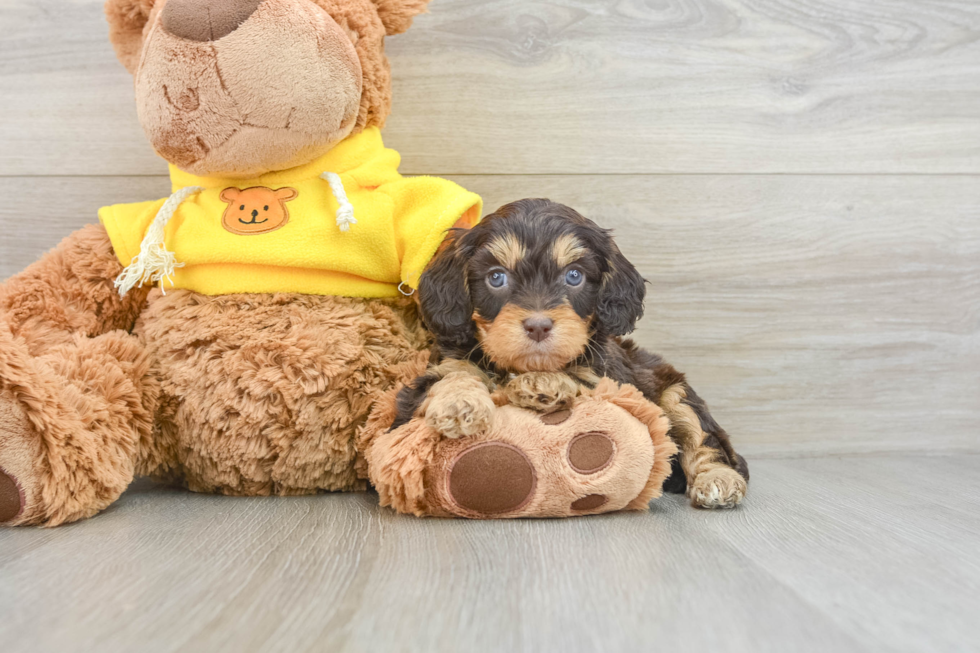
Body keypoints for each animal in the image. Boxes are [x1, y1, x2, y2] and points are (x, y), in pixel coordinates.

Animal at [394, 199, 748, 510]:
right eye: (496, 277)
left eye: (574, 276)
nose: (538, 326)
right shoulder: (440, 370)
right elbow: (451, 377)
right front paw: (459, 404)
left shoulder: (612, 381)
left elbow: (579, 379)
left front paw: (541, 384)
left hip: (674, 392)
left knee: (707, 441)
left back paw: (719, 480)